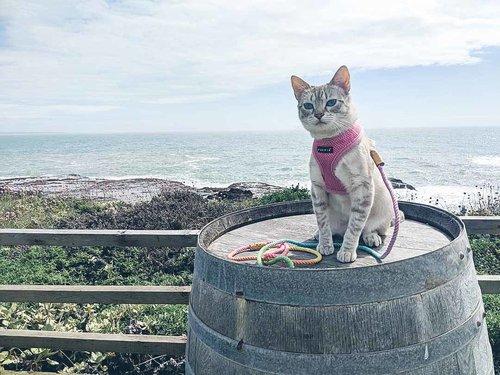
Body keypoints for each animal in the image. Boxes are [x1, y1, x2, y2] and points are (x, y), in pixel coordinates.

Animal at [290, 65, 394, 264]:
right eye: (308, 106)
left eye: (331, 102)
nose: (319, 114)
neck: (329, 143)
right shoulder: (317, 188)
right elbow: (323, 222)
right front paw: (325, 245)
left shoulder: (362, 187)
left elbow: (354, 227)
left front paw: (346, 251)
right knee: (335, 229)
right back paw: (320, 235)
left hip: (384, 200)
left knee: (371, 228)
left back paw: (372, 237)